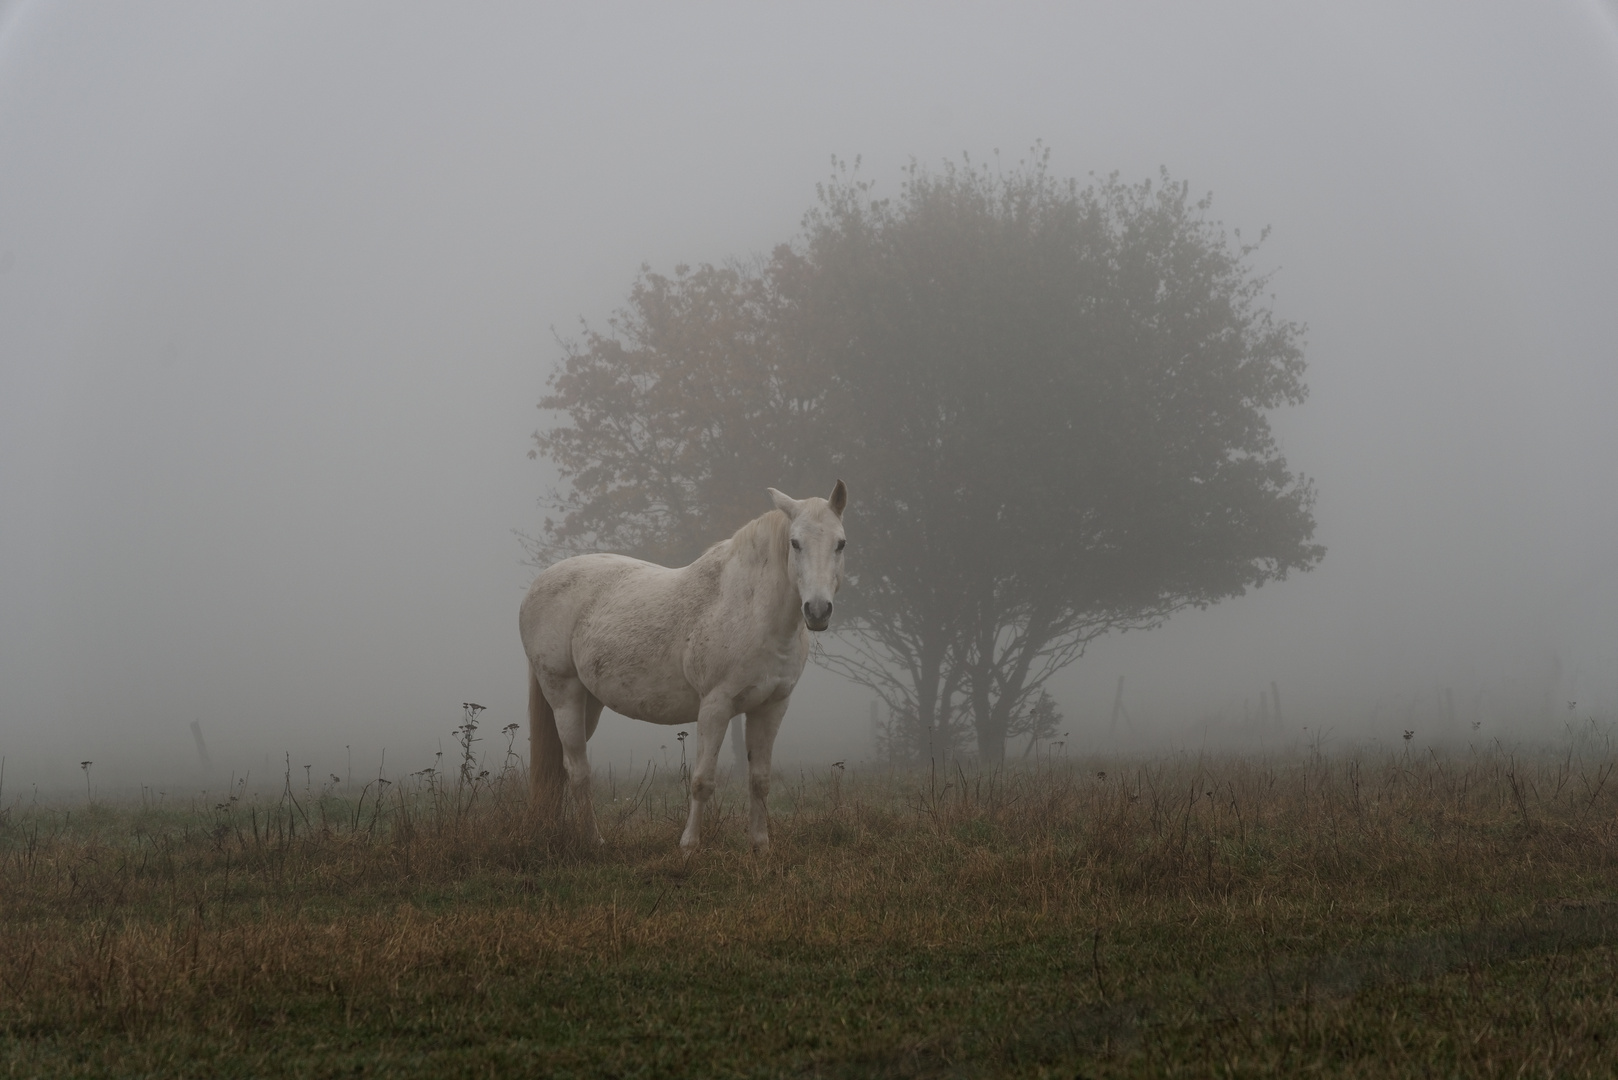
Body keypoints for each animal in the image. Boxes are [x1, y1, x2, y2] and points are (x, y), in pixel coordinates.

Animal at [517, 482, 847, 854]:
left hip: (591, 702)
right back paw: (593, 840)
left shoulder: (771, 707)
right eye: (795, 543)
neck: (751, 610)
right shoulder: (716, 706)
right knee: (578, 771)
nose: (817, 610)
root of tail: (541, 582)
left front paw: (760, 846)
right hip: (564, 694)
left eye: (840, 543)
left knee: (563, 768)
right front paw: (689, 847)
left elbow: (760, 781)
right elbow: (702, 781)